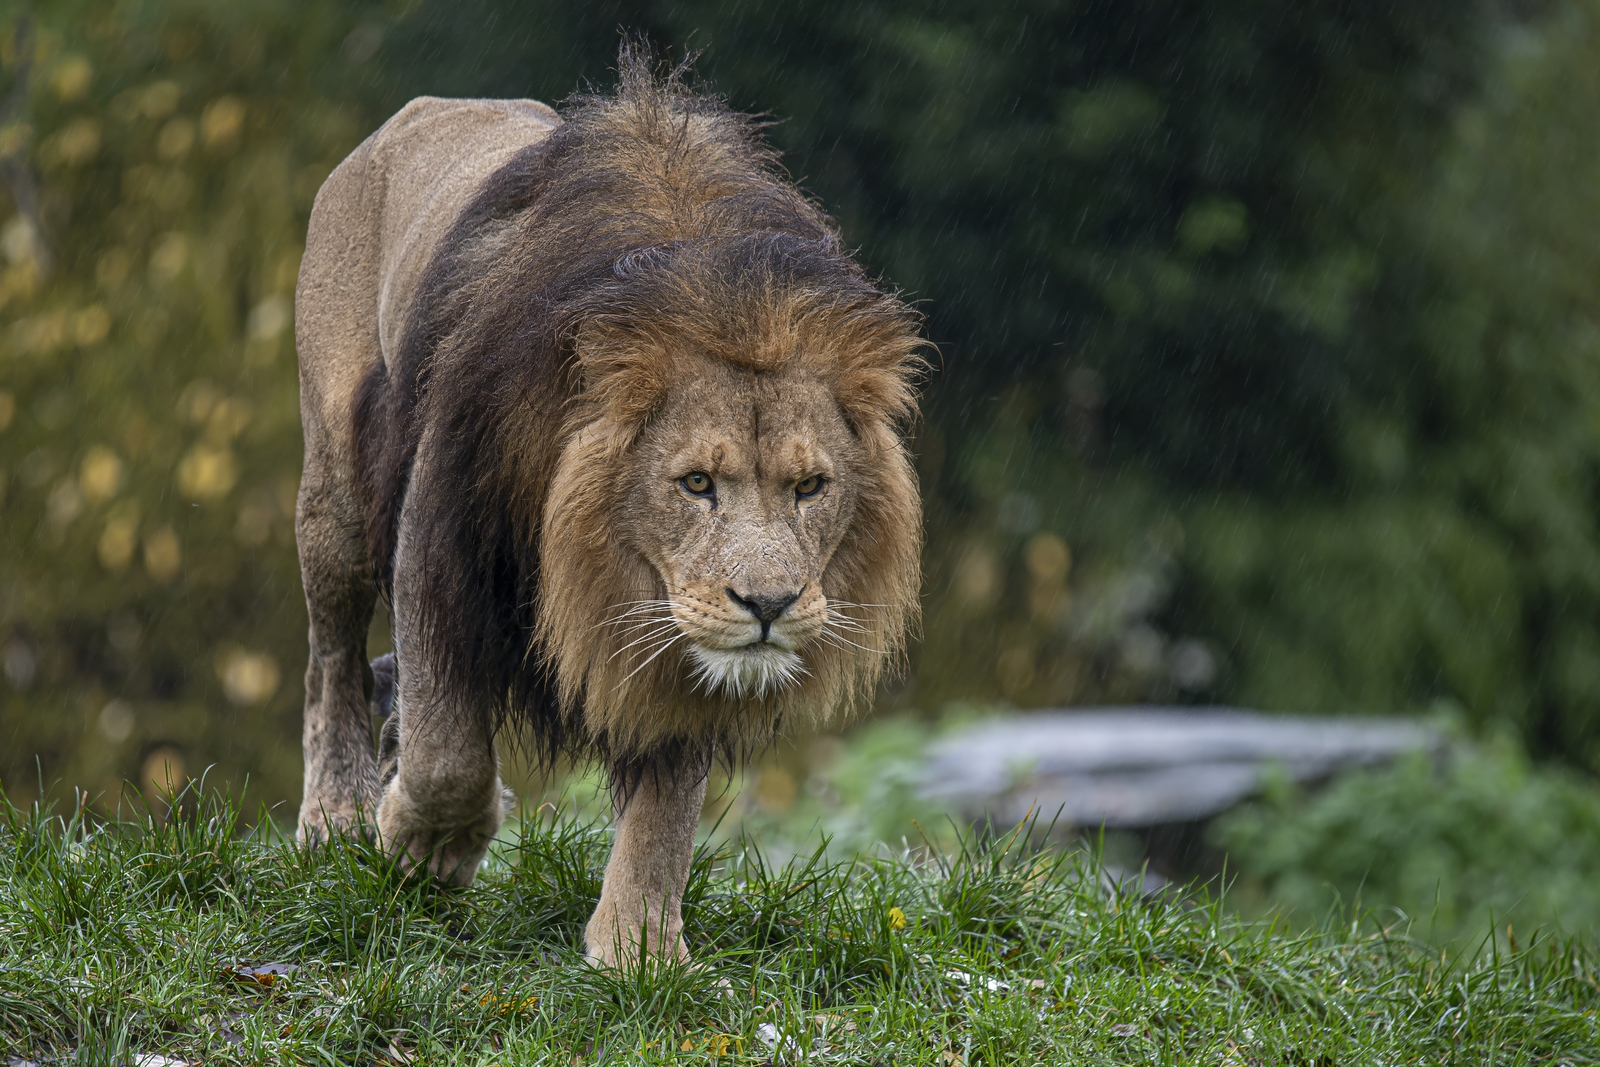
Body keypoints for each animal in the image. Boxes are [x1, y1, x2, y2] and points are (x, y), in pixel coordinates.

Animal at [292, 52, 924, 966]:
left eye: (811, 487)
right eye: (695, 483)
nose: (768, 604)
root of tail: (423, 110)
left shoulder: (680, 629)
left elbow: (664, 808)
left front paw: (640, 950)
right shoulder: (442, 534)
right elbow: (449, 746)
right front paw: (428, 845)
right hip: (335, 492)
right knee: (332, 659)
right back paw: (334, 814)